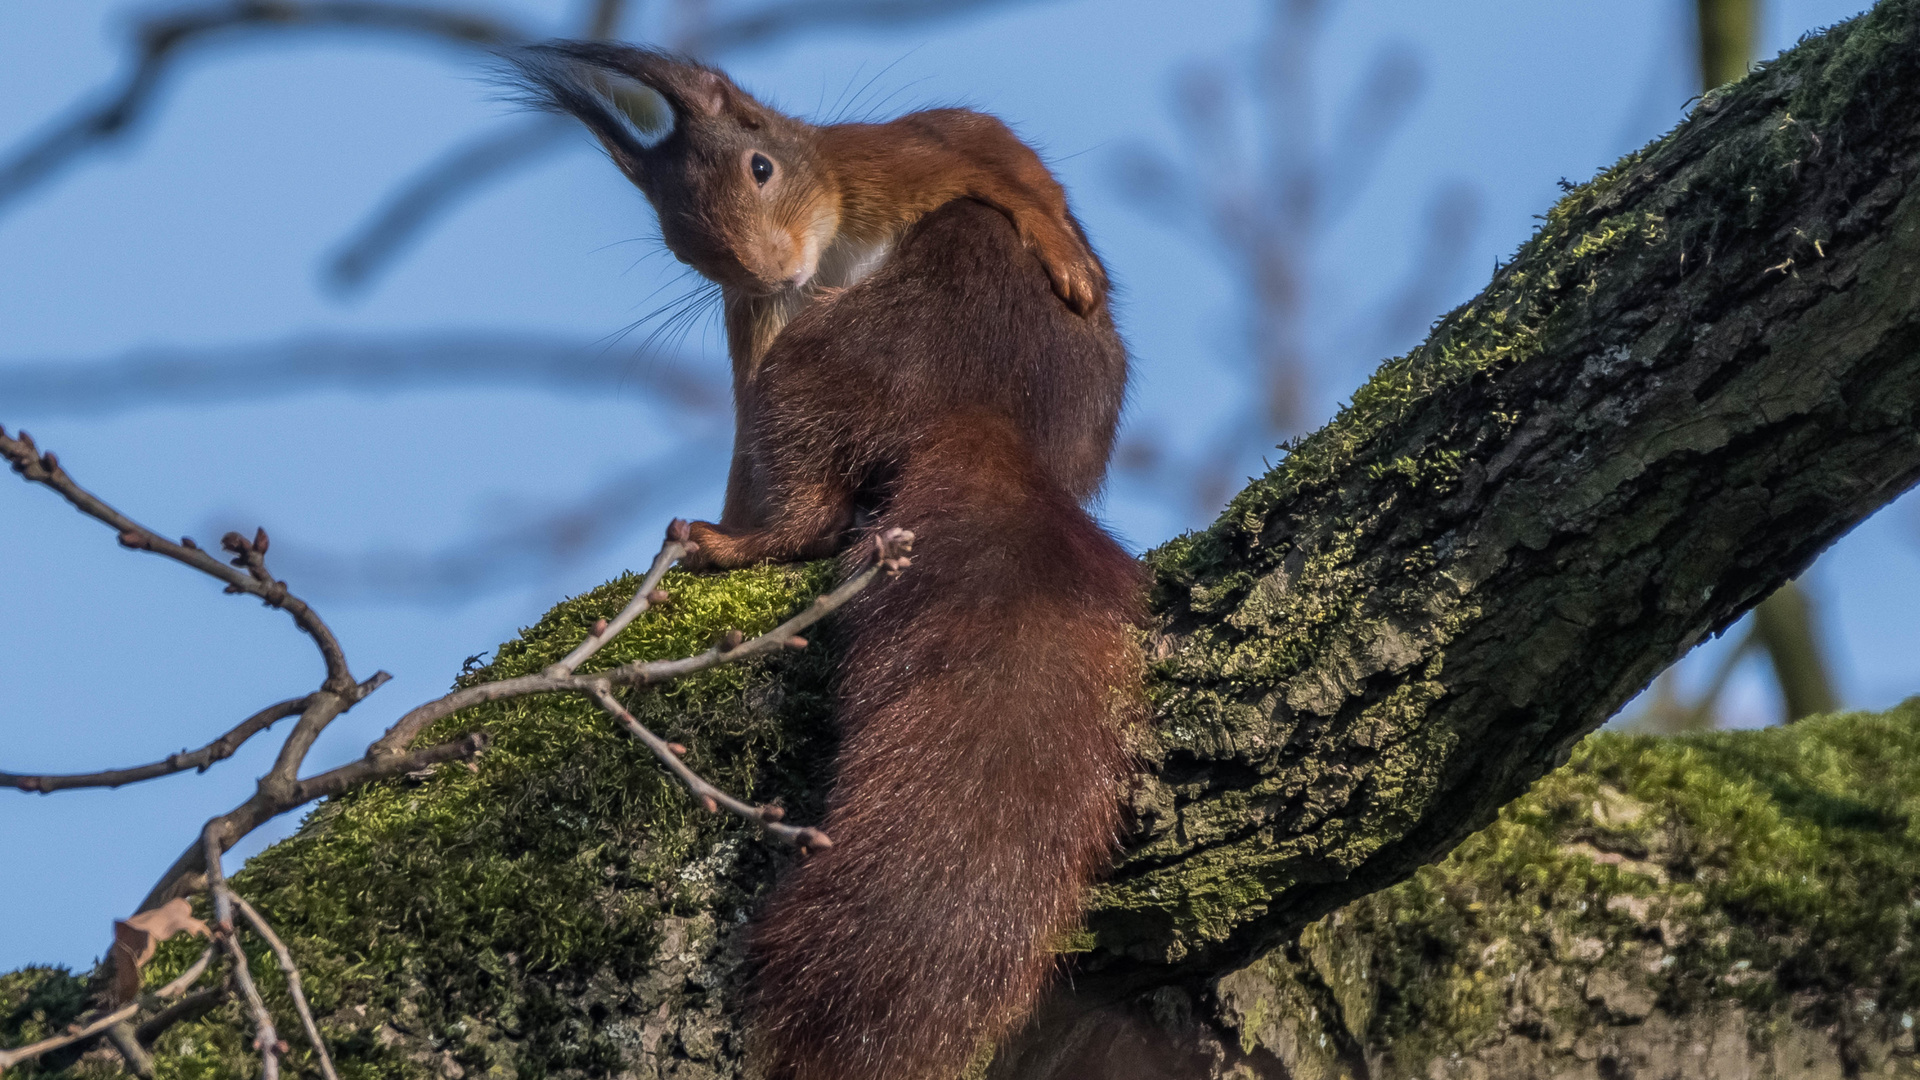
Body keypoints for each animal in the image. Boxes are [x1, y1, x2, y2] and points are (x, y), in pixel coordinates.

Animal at [510, 46, 1136, 1076]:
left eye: (762, 166)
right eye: (678, 237)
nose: (770, 265)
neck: (828, 242)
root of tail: (987, 418)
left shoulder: (887, 159)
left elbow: (987, 147)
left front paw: (1064, 247)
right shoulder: (753, 317)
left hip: (813, 362)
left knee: (805, 516)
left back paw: (724, 544)